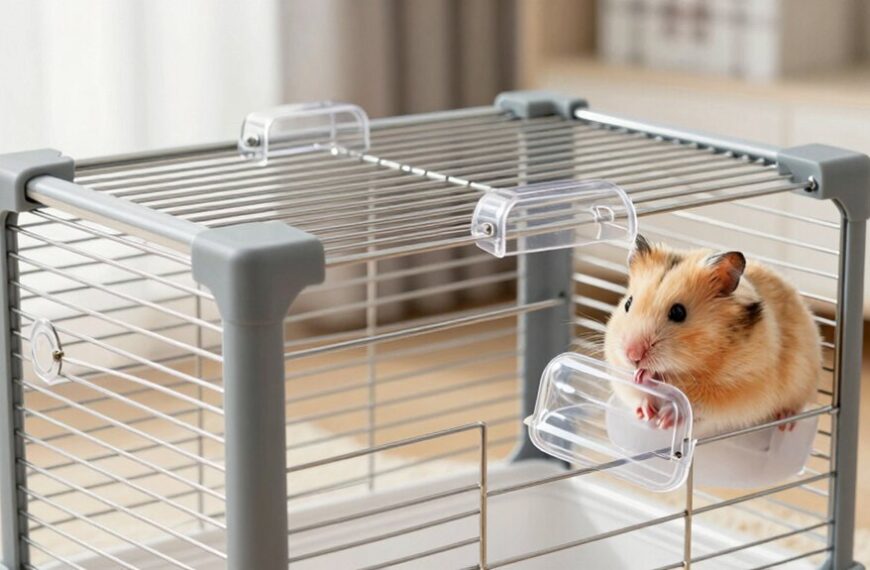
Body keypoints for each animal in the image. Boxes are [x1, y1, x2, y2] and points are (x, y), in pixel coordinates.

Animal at [604, 234, 821, 437]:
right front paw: (646, 410)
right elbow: (639, 392)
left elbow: (694, 402)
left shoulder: (736, 386)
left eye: (678, 312)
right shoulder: (621, 374)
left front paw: (665, 419)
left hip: (803, 381)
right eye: (628, 303)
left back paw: (786, 421)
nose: (632, 355)